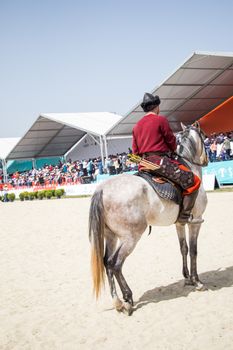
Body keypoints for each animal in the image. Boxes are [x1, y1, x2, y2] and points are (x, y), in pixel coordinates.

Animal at [88, 122, 208, 314]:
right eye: (203, 136)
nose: (206, 160)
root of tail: (102, 189)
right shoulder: (196, 222)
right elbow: (194, 251)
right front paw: (197, 281)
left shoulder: (180, 224)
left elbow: (184, 248)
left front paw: (187, 278)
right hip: (131, 237)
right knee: (115, 264)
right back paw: (127, 299)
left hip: (111, 235)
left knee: (107, 263)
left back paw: (117, 301)